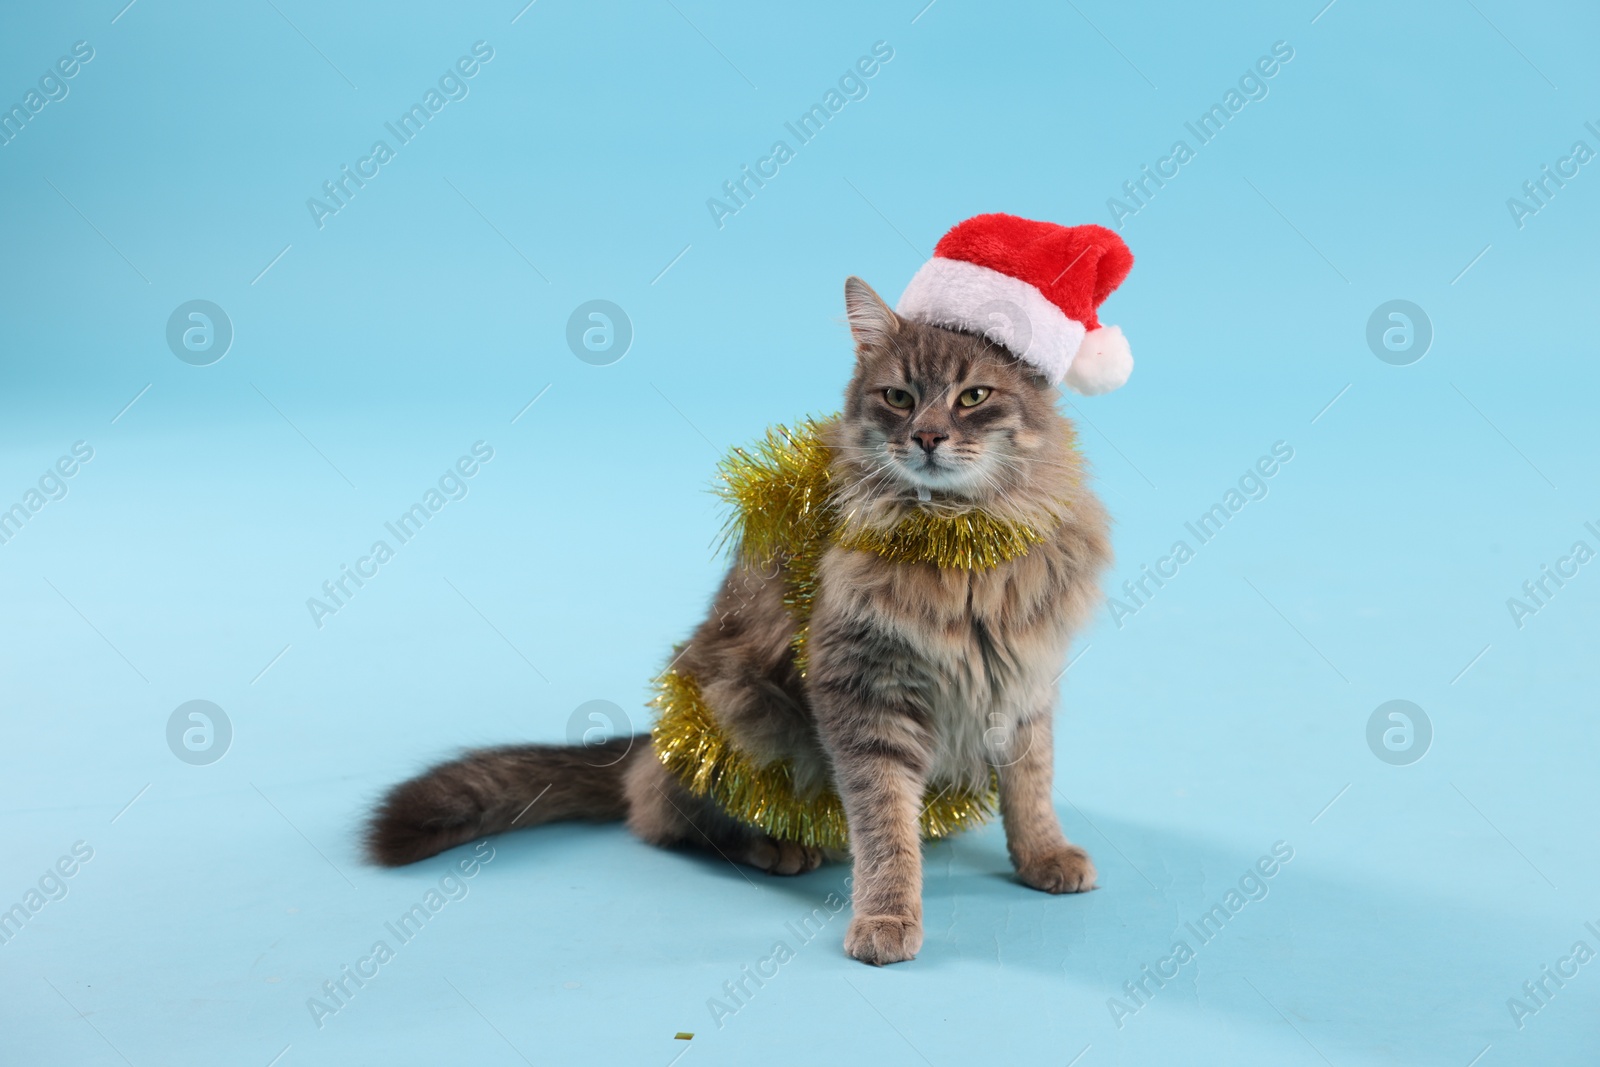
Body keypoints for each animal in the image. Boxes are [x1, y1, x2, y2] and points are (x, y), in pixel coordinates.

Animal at [366, 275, 1113, 966]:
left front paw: (1043, 854)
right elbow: (884, 826)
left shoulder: (1022, 680)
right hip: (737, 709)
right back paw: (773, 845)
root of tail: (653, 742)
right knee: (666, 816)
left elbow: (1030, 783)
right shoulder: (862, 692)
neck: (964, 550)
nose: (927, 437)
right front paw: (888, 915)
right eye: (898, 398)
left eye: (973, 398)